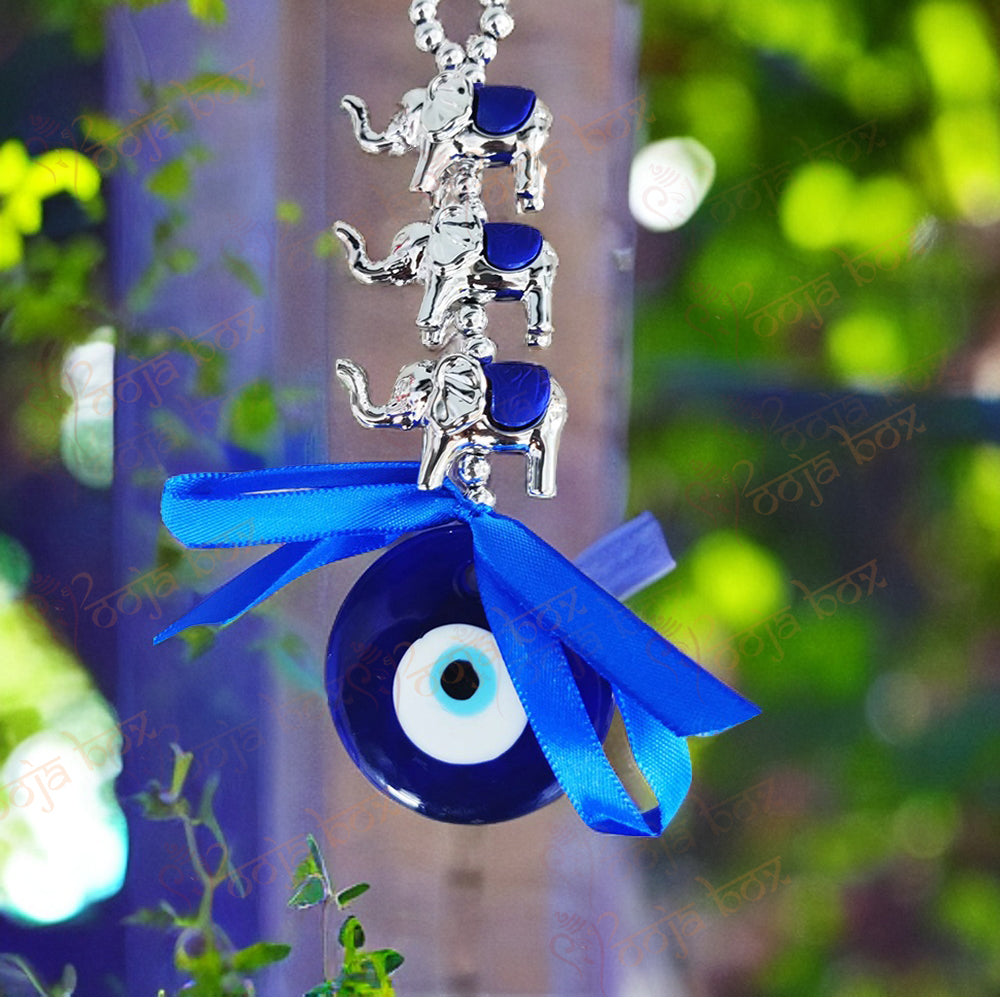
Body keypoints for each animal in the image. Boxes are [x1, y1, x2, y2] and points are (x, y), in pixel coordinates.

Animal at [335, 353, 567, 503]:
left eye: (408, 395)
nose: (340, 366)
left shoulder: (449, 423)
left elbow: (438, 451)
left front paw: (426, 487)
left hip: (551, 420)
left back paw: (541, 494)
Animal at [341, 63, 552, 212]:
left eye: (401, 118)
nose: (345, 102)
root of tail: (546, 111)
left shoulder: (444, 137)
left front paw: (426, 194)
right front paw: (437, 202)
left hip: (530, 134)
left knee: (527, 160)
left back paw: (527, 198)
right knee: (538, 166)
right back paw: (531, 204)